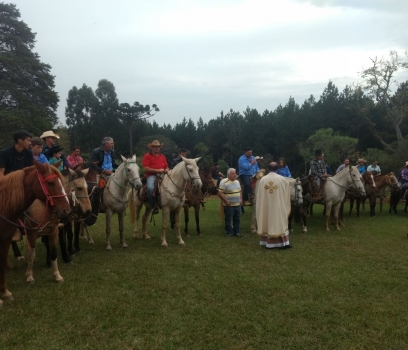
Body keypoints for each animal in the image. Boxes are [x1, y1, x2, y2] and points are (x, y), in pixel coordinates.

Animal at [0, 160, 70, 308]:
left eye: (61, 182)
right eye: (50, 183)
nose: (66, 210)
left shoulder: (53, 231)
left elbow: (54, 253)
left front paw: (57, 276)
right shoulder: (31, 234)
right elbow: (31, 255)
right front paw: (29, 276)